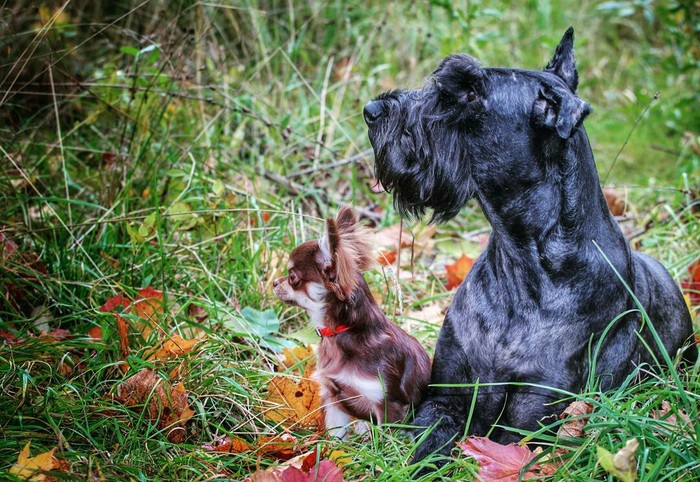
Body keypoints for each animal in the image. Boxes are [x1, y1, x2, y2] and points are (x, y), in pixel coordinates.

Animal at [274, 207, 432, 436]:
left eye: (292, 277)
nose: (275, 282)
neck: (341, 331)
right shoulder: (333, 398)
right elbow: (335, 436)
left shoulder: (388, 405)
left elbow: (385, 441)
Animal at [364, 28, 696, 466]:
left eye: (470, 93)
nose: (371, 110)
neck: (523, 261)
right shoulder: (446, 399)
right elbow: (426, 451)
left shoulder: (530, 419)